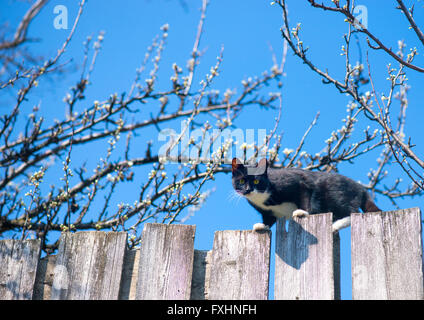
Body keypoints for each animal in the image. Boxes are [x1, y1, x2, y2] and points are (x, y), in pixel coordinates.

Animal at [232, 158, 380, 232]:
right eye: (242, 181)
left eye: (257, 181)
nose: (248, 189)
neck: (262, 198)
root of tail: (361, 188)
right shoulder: (267, 211)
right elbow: (269, 219)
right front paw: (262, 226)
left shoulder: (297, 183)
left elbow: (305, 193)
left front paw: (302, 212)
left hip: (335, 193)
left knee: (353, 212)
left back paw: (335, 225)